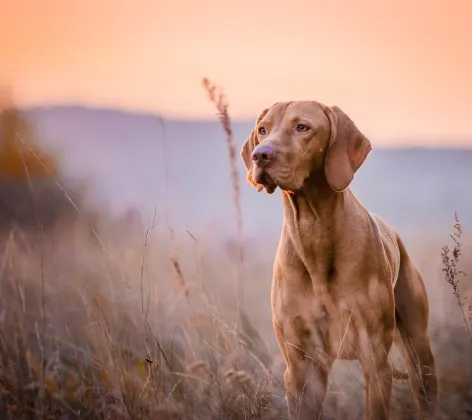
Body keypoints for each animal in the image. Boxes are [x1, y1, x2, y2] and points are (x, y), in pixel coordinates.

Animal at [242, 101, 436, 420]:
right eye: (262, 130)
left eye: (302, 127)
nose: (260, 155)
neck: (313, 231)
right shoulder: (301, 366)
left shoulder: (374, 359)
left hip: (419, 352)